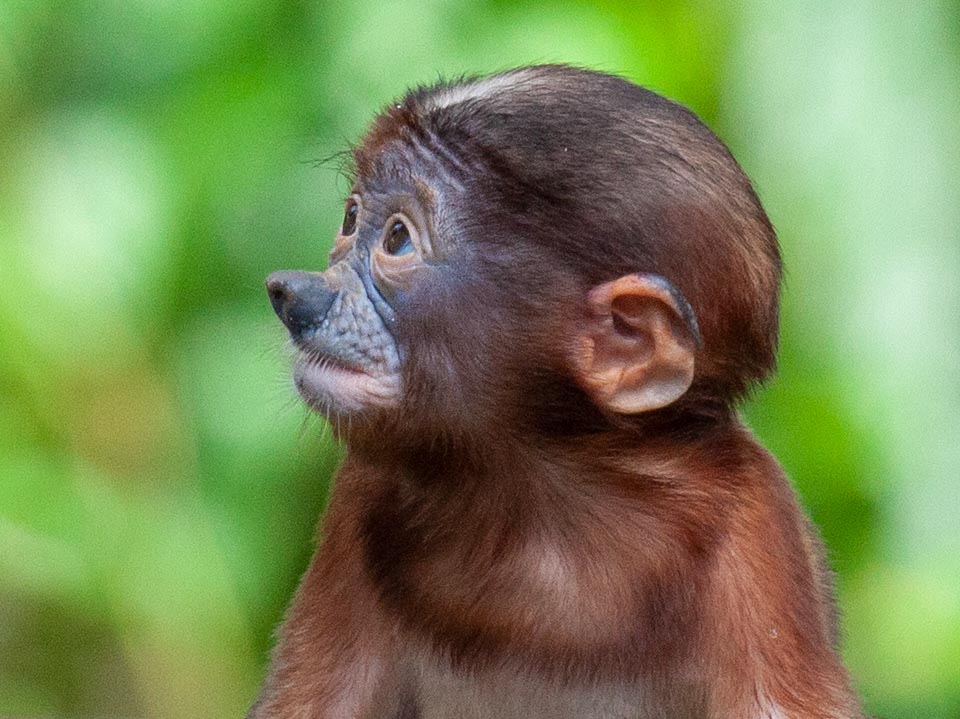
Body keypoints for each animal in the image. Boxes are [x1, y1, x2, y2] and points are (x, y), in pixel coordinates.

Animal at [251, 64, 868, 716]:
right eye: (350, 219)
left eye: (397, 238)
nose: (291, 293)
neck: (537, 499)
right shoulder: (360, 496)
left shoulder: (754, 526)